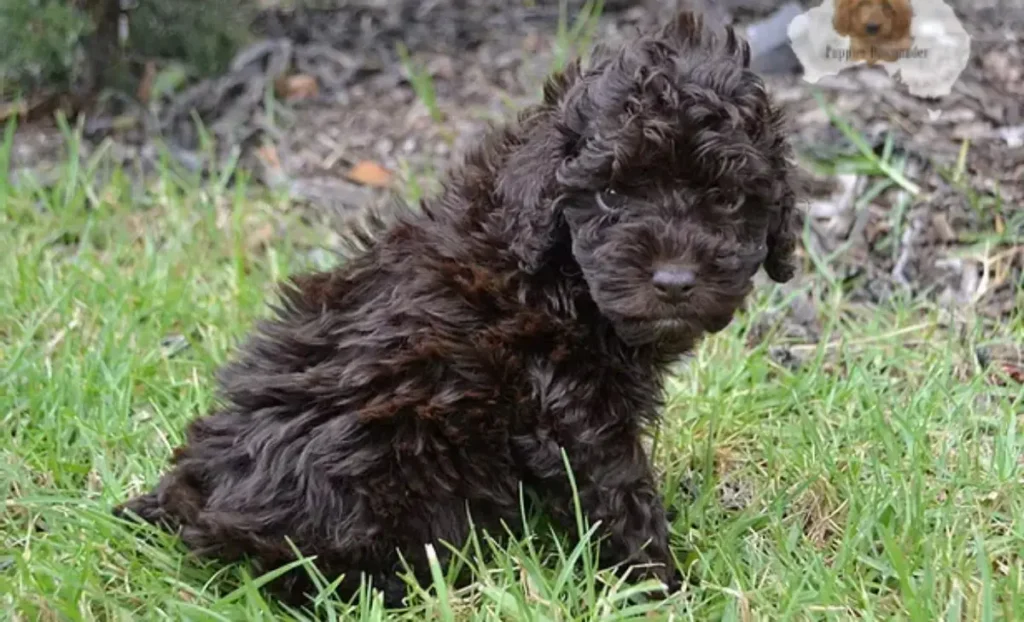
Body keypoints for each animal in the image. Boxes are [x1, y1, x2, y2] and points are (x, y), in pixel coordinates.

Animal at [117, 12, 798, 606]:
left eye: (728, 199)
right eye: (608, 195)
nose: (674, 281)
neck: (558, 272)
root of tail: (201, 495)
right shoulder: (569, 405)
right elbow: (619, 493)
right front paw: (663, 588)